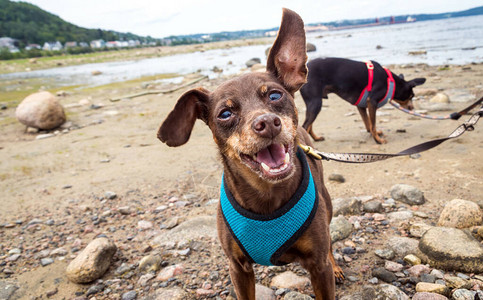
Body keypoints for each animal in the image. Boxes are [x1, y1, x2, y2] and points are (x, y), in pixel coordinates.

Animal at [157, 8, 342, 300]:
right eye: (225, 113)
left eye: (275, 96)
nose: (267, 123)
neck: (266, 195)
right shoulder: (238, 268)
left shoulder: (317, 265)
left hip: (328, 203)